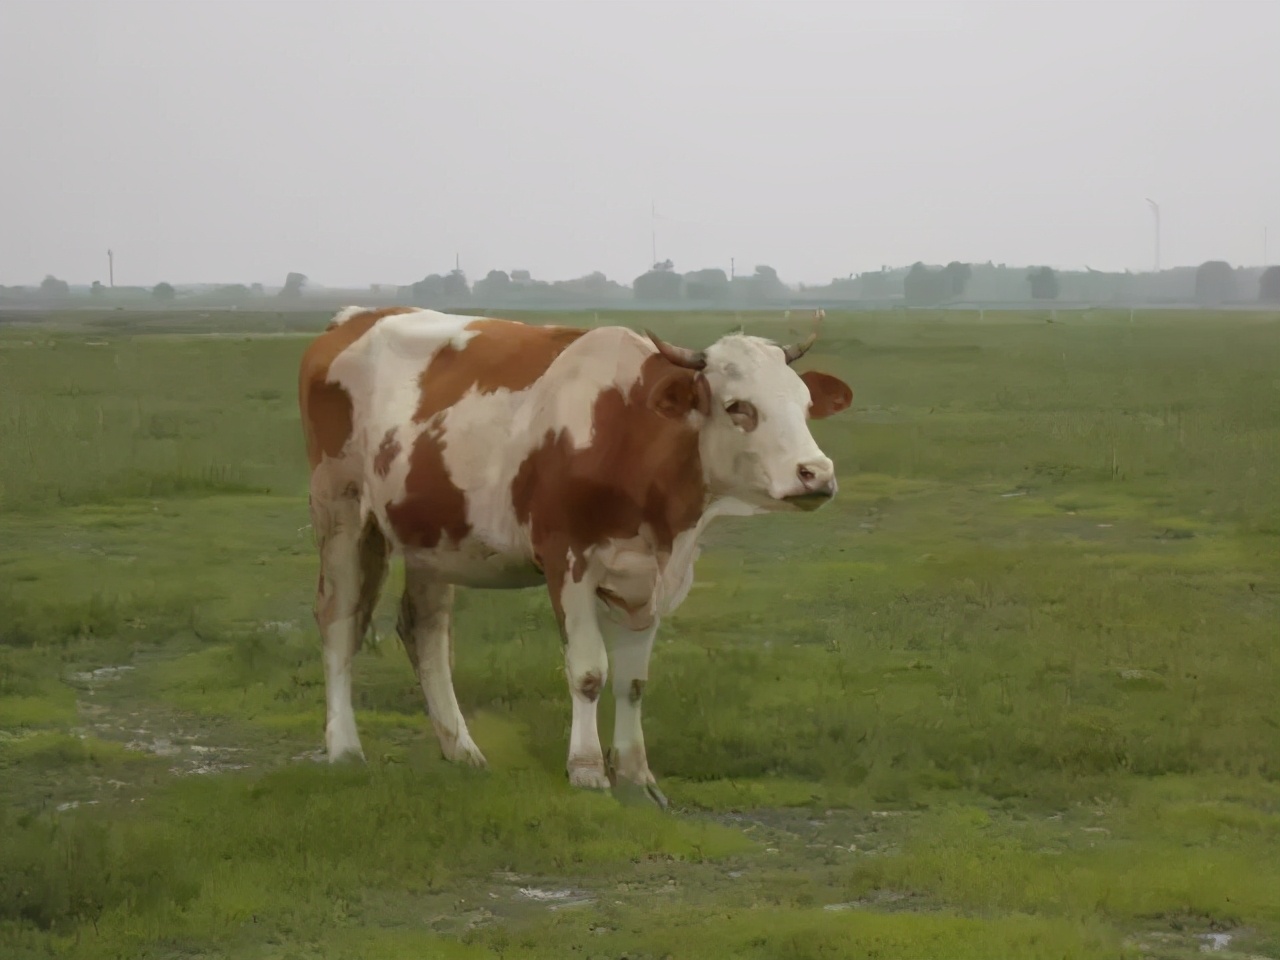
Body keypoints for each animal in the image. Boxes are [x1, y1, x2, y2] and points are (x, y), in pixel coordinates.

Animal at [296, 305, 849, 803]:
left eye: (804, 405)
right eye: (739, 407)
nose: (817, 473)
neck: (629, 431)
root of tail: (352, 318)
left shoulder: (648, 577)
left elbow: (632, 680)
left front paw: (636, 773)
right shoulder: (568, 560)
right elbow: (588, 671)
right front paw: (586, 770)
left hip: (433, 534)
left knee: (424, 631)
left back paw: (461, 750)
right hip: (340, 507)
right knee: (339, 621)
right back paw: (345, 748)